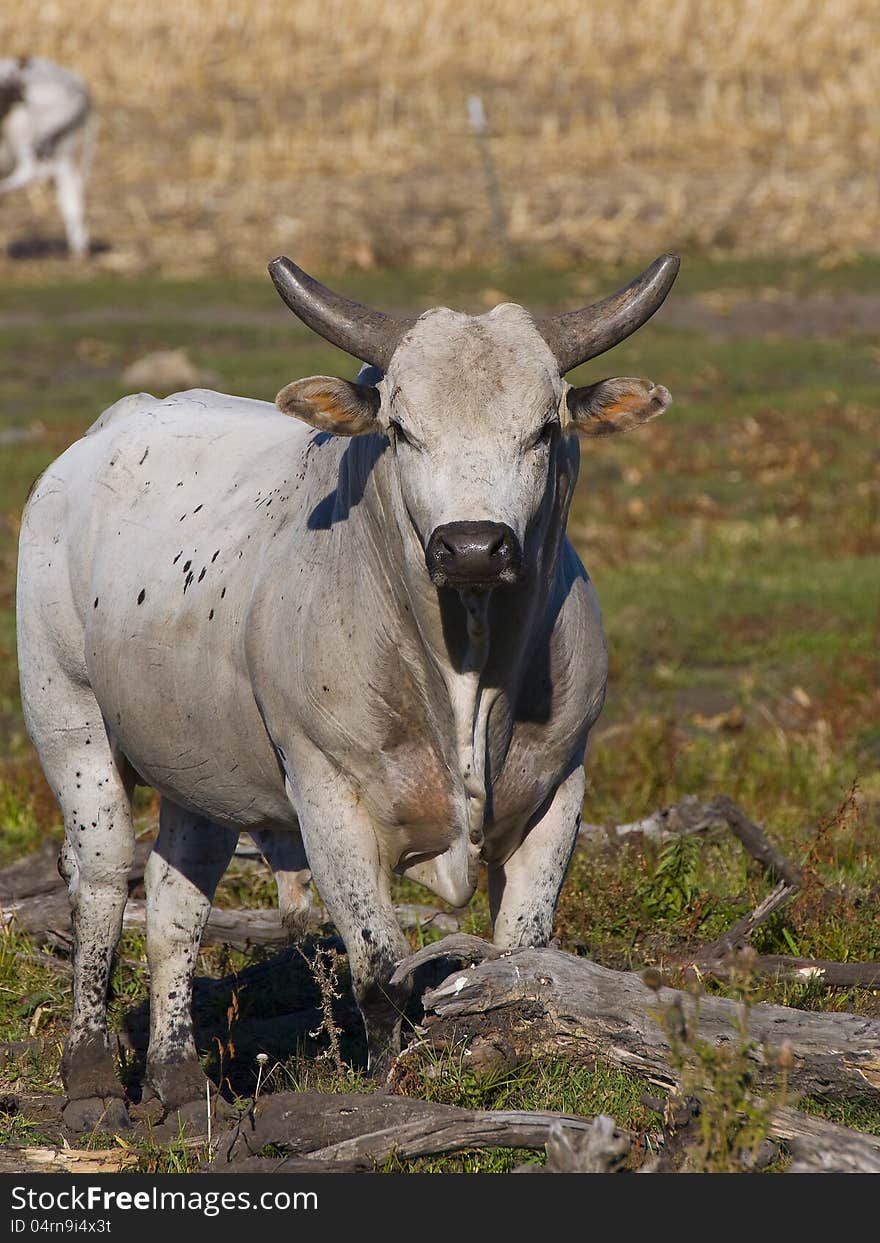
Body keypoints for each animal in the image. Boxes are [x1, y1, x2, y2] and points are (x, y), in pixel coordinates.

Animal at [18, 254, 681, 1128]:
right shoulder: (329, 794)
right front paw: (393, 1088)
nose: (473, 546)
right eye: (400, 428)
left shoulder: (559, 790)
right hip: (69, 719)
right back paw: (92, 1077)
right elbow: (381, 967)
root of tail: (103, 434)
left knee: (173, 903)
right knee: (97, 883)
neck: (463, 672)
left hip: (197, 762)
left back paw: (178, 1082)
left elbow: (523, 957)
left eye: (546, 427)